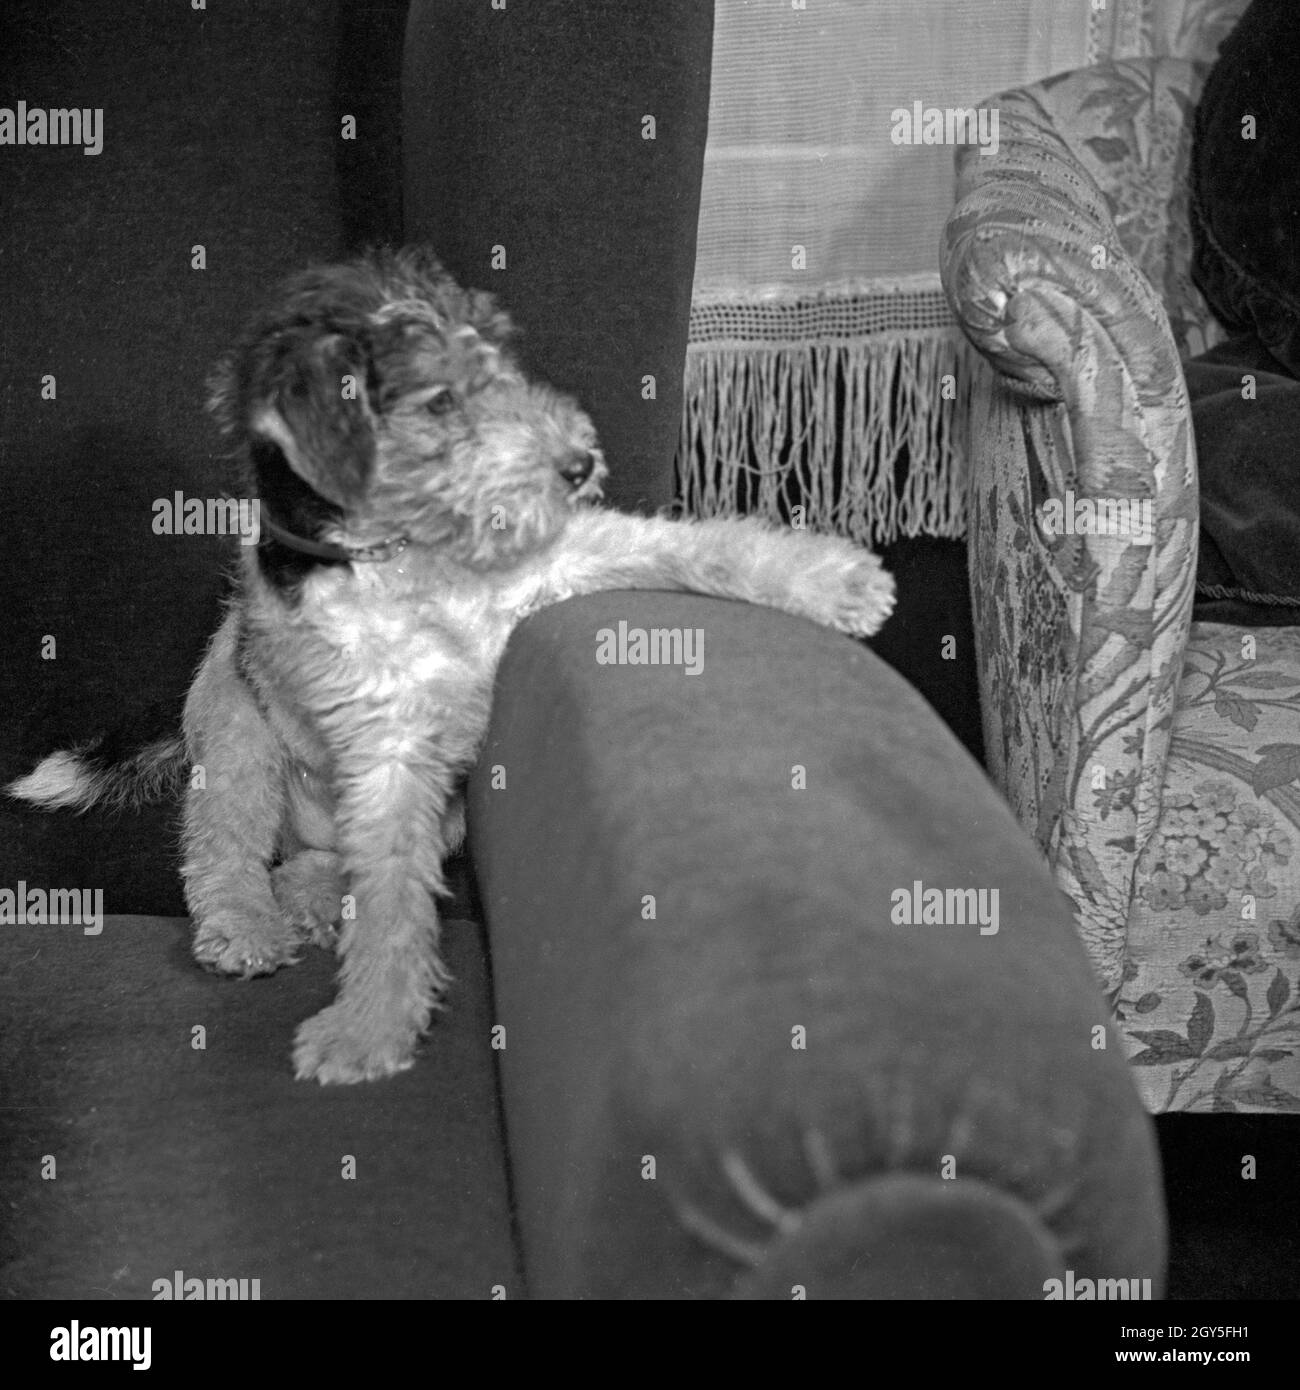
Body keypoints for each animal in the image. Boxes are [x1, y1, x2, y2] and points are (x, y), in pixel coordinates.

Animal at [12, 244, 895, 1078]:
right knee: (224, 849)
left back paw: (307, 899)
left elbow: (702, 545)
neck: (416, 558)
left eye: (499, 375)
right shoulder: (390, 744)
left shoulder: (563, 563)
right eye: (439, 401)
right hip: (237, 733)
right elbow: (392, 905)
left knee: (324, 864)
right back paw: (247, 927)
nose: (578, 464)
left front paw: (840, 582)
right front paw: (367, 1033)